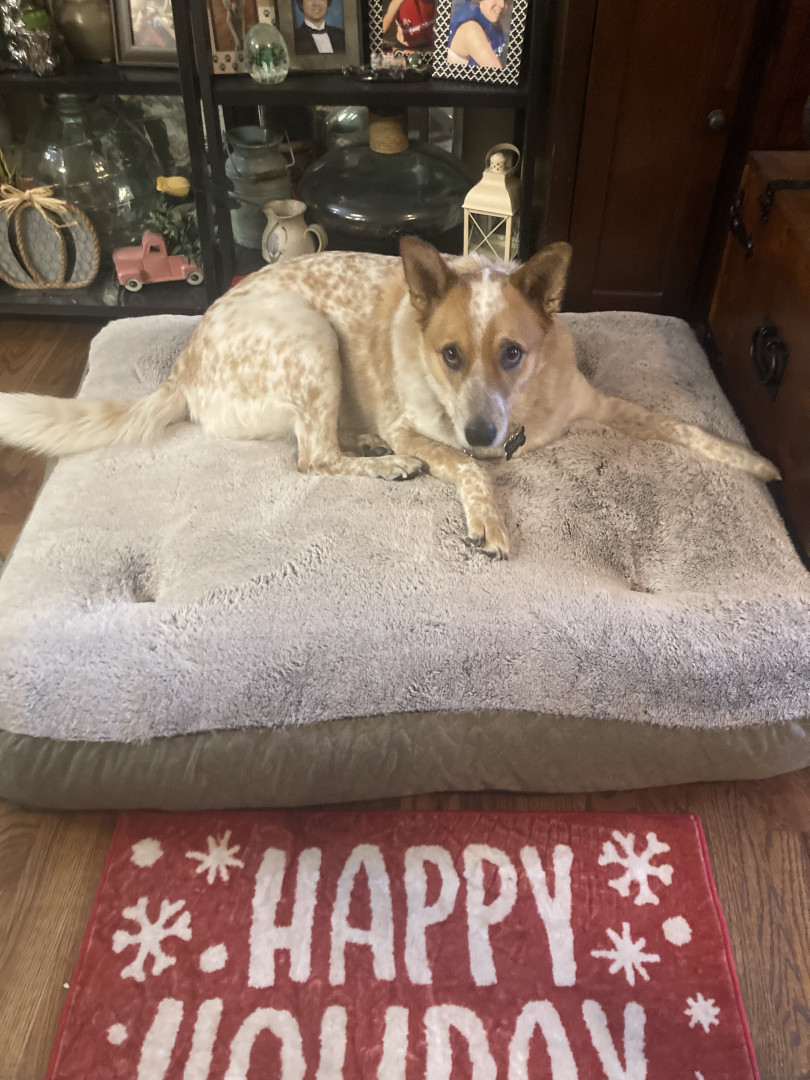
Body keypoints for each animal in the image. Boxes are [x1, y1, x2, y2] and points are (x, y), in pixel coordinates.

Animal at [0, 237, 779, 559]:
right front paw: (488, 520)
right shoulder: (425, 430)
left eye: (513, 353)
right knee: (313, 455)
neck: (521, 416)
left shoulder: (594, 405)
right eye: (450, 354)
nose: (481, 433)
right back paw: (383, 462)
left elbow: (678, 425)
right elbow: (462, 470)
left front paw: (757, 462)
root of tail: (183, 365)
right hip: (309, 336)